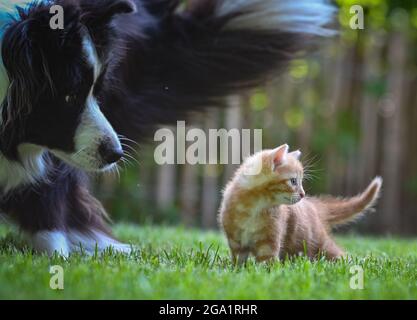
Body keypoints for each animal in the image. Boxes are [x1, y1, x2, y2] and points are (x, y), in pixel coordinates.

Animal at [219, 145, 382, 262]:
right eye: (293, 181)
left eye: (301, 182)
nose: (303, 194)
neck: (255, 206)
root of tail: (313, 206)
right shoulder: (235, 241)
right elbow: (238, 261)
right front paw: (237, 272)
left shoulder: (270, 240)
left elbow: (267, 262)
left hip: (318, 242)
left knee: (339, 254)